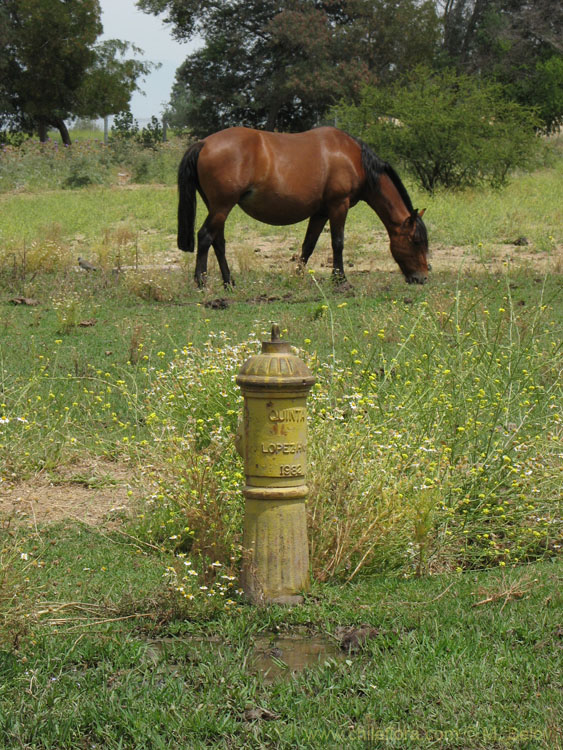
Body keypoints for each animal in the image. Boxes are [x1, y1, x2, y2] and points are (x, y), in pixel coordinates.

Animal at [178, 126, 430, 288]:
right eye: (416, 241)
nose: (423, 278)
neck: (354, 158)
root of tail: (204, 143)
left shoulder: (320, 212)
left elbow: (308, 245)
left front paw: (297, 277)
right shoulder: (339, 205)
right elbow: (338, 243)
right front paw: (341, 281)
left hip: (217, 207)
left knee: (218, 242)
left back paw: (229, 282)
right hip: (222, 206)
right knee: (205, 236)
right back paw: (201, 282)